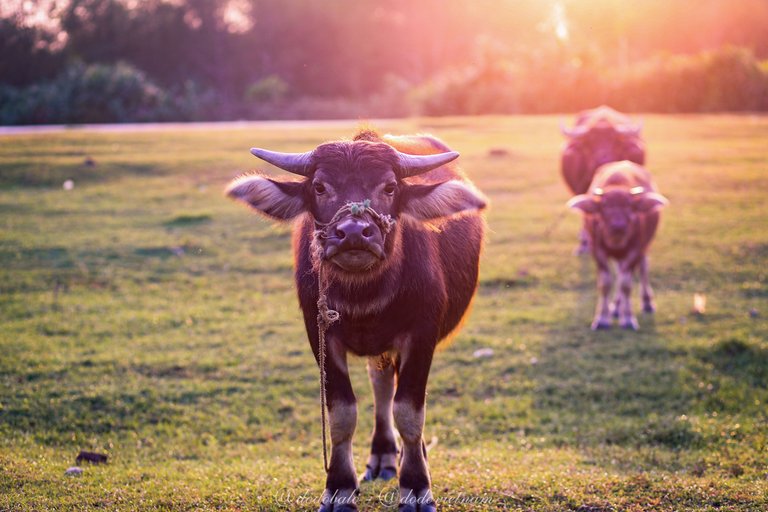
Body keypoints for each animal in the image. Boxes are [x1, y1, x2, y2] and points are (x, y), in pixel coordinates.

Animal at [225, 130, 486, 510]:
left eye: (389, 187)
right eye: (319, 186)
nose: (352, 232)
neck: (365, 296)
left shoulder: (422, 334)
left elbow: (409, 412)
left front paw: (416, 486)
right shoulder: (319, 334)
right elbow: (342, 413)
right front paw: (339, 487)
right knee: (381, 385)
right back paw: (383, 457)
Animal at [568, 161, 668, 332]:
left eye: (630, 206)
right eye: (604, 207)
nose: (618, 226)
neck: (616, 241)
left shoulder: (635, 250)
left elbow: (626, 285)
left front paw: (627, 319)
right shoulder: (597, 251)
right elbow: (605, 284)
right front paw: (602, 319)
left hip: (644, 247)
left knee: (642, 268)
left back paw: (646, 303)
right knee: (620, 273)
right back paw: (615, 307)